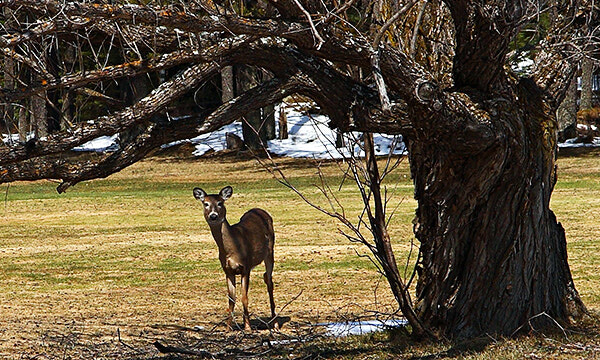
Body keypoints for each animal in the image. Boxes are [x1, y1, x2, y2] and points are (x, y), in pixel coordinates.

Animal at [192, 187, 278, 330]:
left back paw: (275, 323)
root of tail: (260, 210)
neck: (233, 248)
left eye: (220, 203)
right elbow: (231, 299)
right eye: (206, 203)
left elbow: (244, 297)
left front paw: (247, 327)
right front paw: (228, 328)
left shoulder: (245, 267)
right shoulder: (228, 270)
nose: (213, 215)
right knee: (266, 276)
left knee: (269, 281)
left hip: (270, 251)